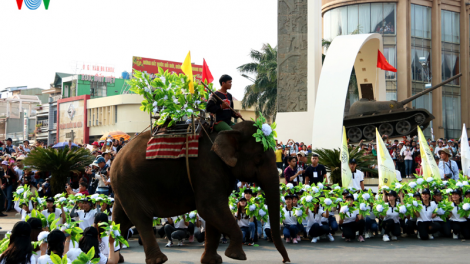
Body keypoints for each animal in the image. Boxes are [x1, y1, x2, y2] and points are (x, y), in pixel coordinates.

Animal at [111, 121, 290, 264]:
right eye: (259, 158)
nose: (285, 261)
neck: (230, 129)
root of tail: (116, 157)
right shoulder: (207, 168)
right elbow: (209, 208)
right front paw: (236, 256)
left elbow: (213, 214)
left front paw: (213, 261)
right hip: (130, 184)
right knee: (142, 218)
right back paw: (158, 260)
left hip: (123, 187)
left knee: (120, 220)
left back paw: (116, 259)